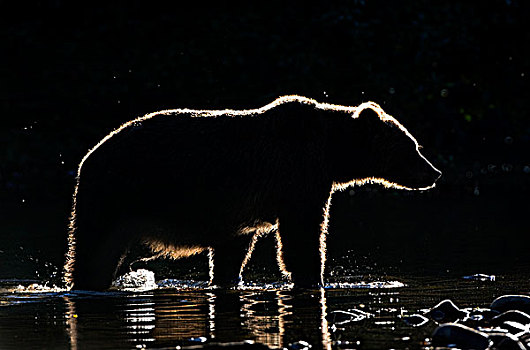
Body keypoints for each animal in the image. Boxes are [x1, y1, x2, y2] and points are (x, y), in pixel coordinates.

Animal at [62, 95, 440, 290]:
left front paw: (228, 277)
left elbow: (232, 251)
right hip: (114, 195)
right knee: (93, 250)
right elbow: (302, 236)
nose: (434, 173)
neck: (331, 154)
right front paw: (312, 277)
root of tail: (86, 158)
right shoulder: (299, 179)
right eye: (411, 147)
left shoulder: (239, 213)